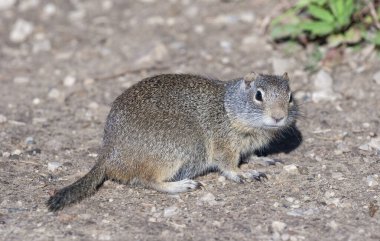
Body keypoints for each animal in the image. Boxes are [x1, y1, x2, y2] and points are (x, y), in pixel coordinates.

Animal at [47, 72, 298, 211]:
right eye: (258, 95)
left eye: (290, 96)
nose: (279, 116)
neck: (229, 109)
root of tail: (108, 154)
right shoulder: (224, 145)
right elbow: (229, 165)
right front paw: (243, 173)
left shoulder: (246, 146)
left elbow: (251, 155)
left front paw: (262, 161)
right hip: (181, 146)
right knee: (147, 180)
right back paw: (181, 185)